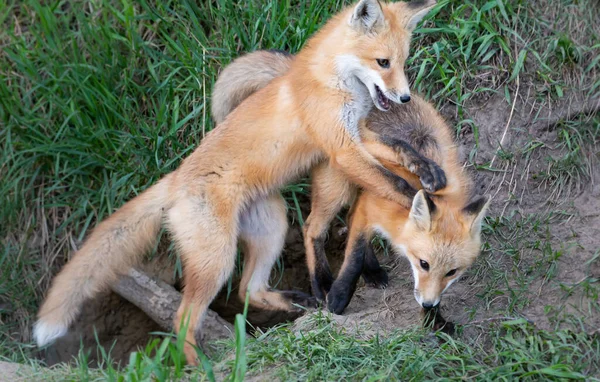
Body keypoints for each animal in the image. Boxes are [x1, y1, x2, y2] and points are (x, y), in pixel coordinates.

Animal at [35, 0, 438, 364]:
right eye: (382, 62)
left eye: (402, 61)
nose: (404, 97)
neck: (331, 81)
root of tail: (175, 179)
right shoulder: (340, 147)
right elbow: (396, 185)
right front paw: (425, 205)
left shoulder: (354, 137)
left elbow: (398, 150)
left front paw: (427, 169)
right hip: (217, 259)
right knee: (184, 318)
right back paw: (200, 366)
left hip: (271, 227)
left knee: (248, 290)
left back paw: (298, 300)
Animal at [213, 50, 490, 320]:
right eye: (424, 264)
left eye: (452, 272)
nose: (429, 303)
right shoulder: (373, 205)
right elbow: (354, 255)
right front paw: (339, 296)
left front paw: (435, 319)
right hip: (338, 187)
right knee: (313, 228)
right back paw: (322, 283)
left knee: (347, 216)